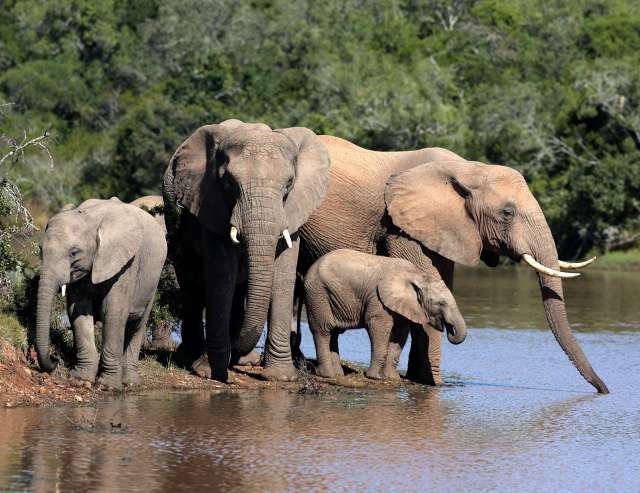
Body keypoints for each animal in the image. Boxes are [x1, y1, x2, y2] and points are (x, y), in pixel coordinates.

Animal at [36, 197, 167, 389]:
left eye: (73, 253)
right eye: (40, 249)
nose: (55, 360)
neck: (90, 218)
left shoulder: (125, 264)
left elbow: (113, 313)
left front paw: (108, 386)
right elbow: (79, 311)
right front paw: (81, 379)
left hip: (152, 279)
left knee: (137, 325)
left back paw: (130, 382)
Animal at [162, 119, 330, 382]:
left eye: (289, 184)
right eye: (230, 182)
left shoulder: (295, 208)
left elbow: (283, 273)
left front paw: (281, 377)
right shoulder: (210, 201)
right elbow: (221, 274)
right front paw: (209, 371)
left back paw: (242, 360)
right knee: (192, 279)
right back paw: (191, 356)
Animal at [302, 249, 467, 380]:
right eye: (441, 303)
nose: (449, 329)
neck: (418, 275)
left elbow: (400, 335)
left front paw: (392, 378)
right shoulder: (378, 299)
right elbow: (378, 327)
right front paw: (375, 377)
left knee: (334, 332)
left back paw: (338, 375)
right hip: (317, 293)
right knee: (323, 329)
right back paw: (327, 375)